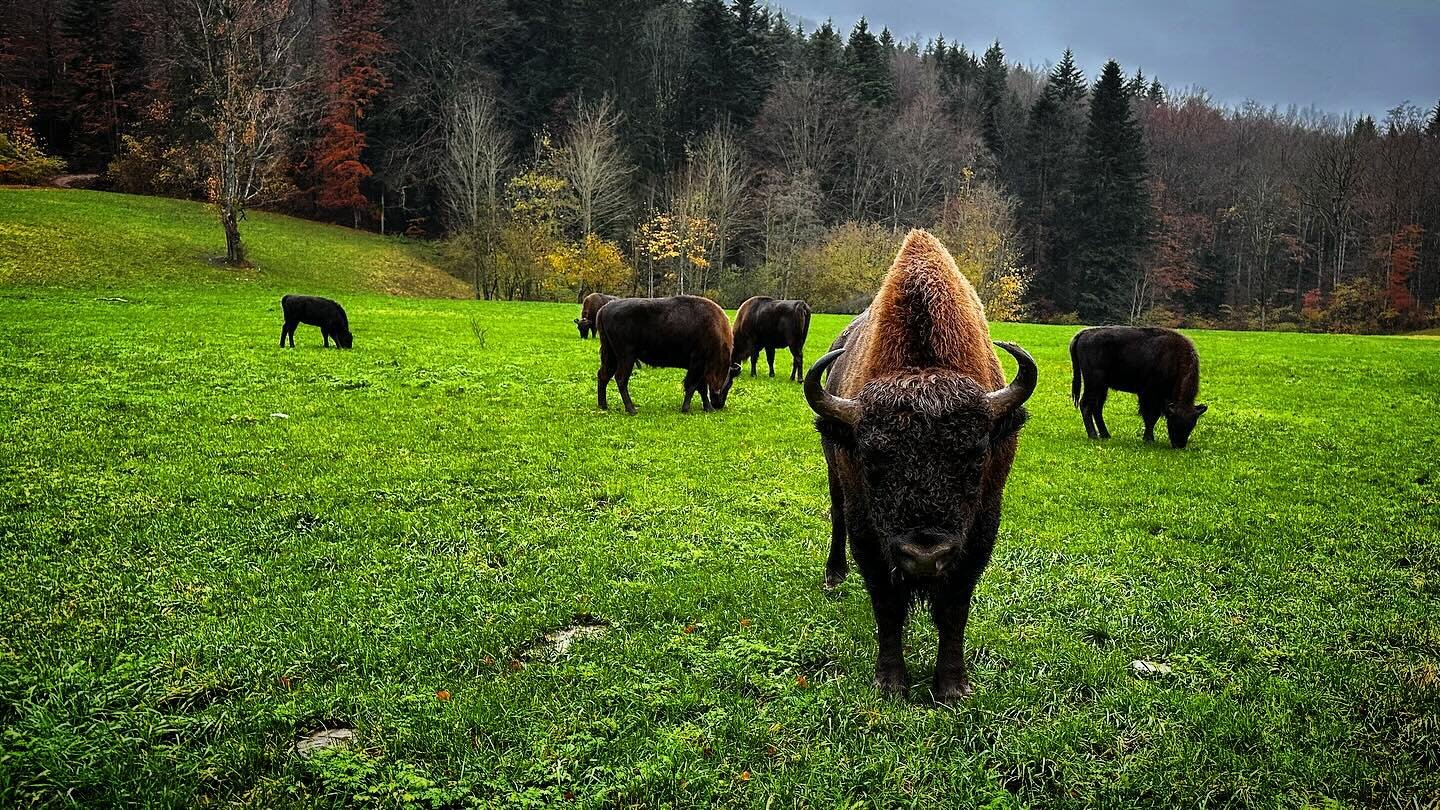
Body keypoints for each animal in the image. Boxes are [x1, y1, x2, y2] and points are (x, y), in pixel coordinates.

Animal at [593, 292, 737, 412]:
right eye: (729, 384)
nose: (719, 405)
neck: (714, 328)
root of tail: (604, 309)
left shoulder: (700, 368)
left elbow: (700, 388)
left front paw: (707, 408)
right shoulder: (698, 364)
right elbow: (692, 386)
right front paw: (687, 409)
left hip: (611, 355)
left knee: (603, 375)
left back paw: (603, 406)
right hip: (626, 357)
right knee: (620, 379)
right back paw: (632, 409)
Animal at [812, 229, 1036, 700]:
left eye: (975, 457)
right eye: (873, 461)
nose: (924, 555)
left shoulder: (979, 532)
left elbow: (954, 609)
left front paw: (952, 686)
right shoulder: (869, 534)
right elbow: (887, 606)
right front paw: (891, 682)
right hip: (834, 472)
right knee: (836, 513)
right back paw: (834, 577)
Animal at [1071, 322, 1203, 446]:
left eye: (1192, 425)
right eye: (1174, 421)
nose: (1179, 445)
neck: (1175, 360)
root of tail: (1084, 333)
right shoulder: (1150, 395)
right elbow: (1150, 416)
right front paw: (1149, 439)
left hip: (1102, 386)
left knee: (1097, 408)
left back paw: (1106, 435)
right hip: (1093, 382)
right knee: (1086, 405)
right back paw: (1093, 436)